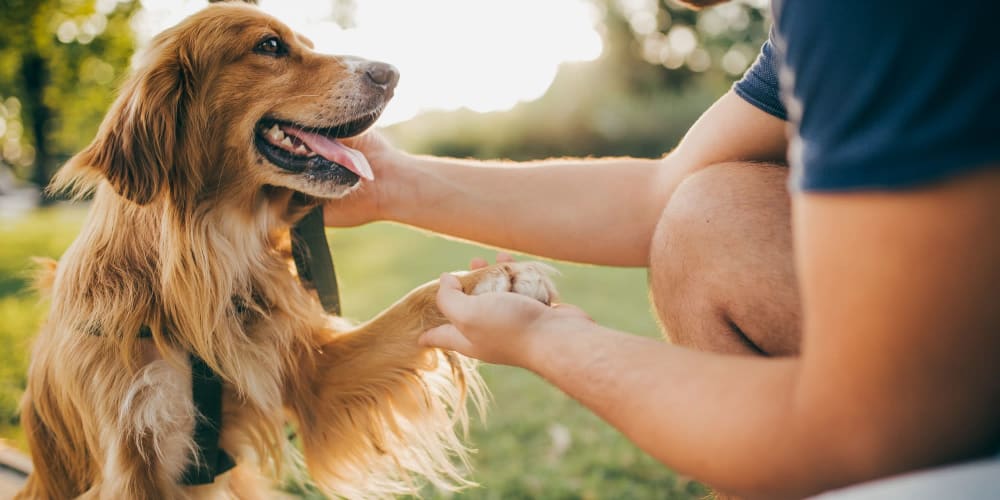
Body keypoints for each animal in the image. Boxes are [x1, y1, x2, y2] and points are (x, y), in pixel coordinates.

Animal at [15, 2, 560, 496]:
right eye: (270, 46)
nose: (391, 73)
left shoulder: (311, 376)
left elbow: (412, 306)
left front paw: (494, 282)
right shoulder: (128, 464)